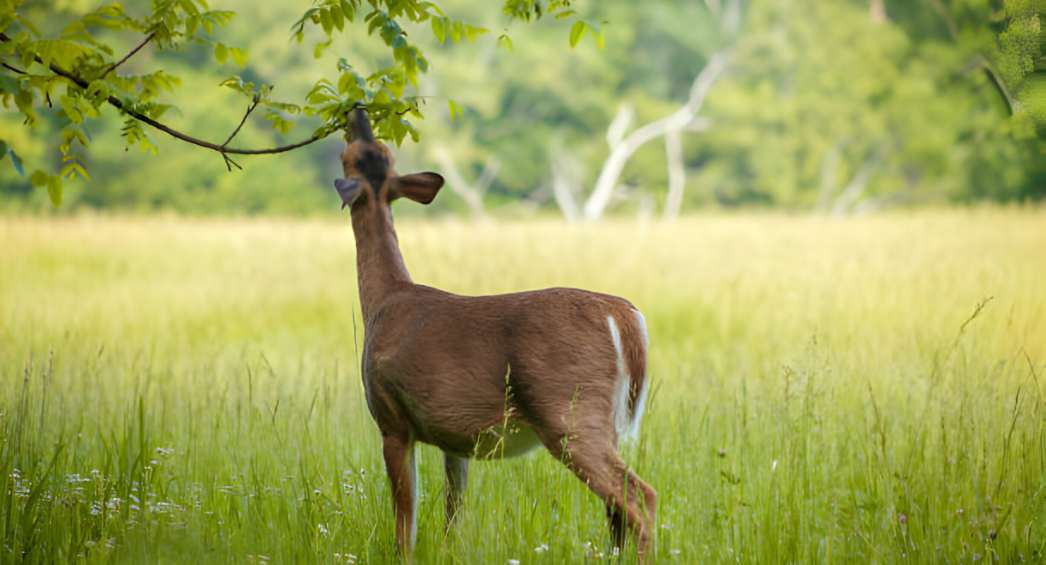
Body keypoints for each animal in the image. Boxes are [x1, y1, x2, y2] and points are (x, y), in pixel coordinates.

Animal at [334, 108, 652, 556]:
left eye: (353, 155)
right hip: (605, 422)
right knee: (619, 510)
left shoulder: (391, 415)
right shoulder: (453, 437)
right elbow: (453, 514)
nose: (358, 112)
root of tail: (622, 313)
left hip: (570, 412)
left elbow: (404, 524)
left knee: (641, 498)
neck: (382, 300)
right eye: (379, 151)